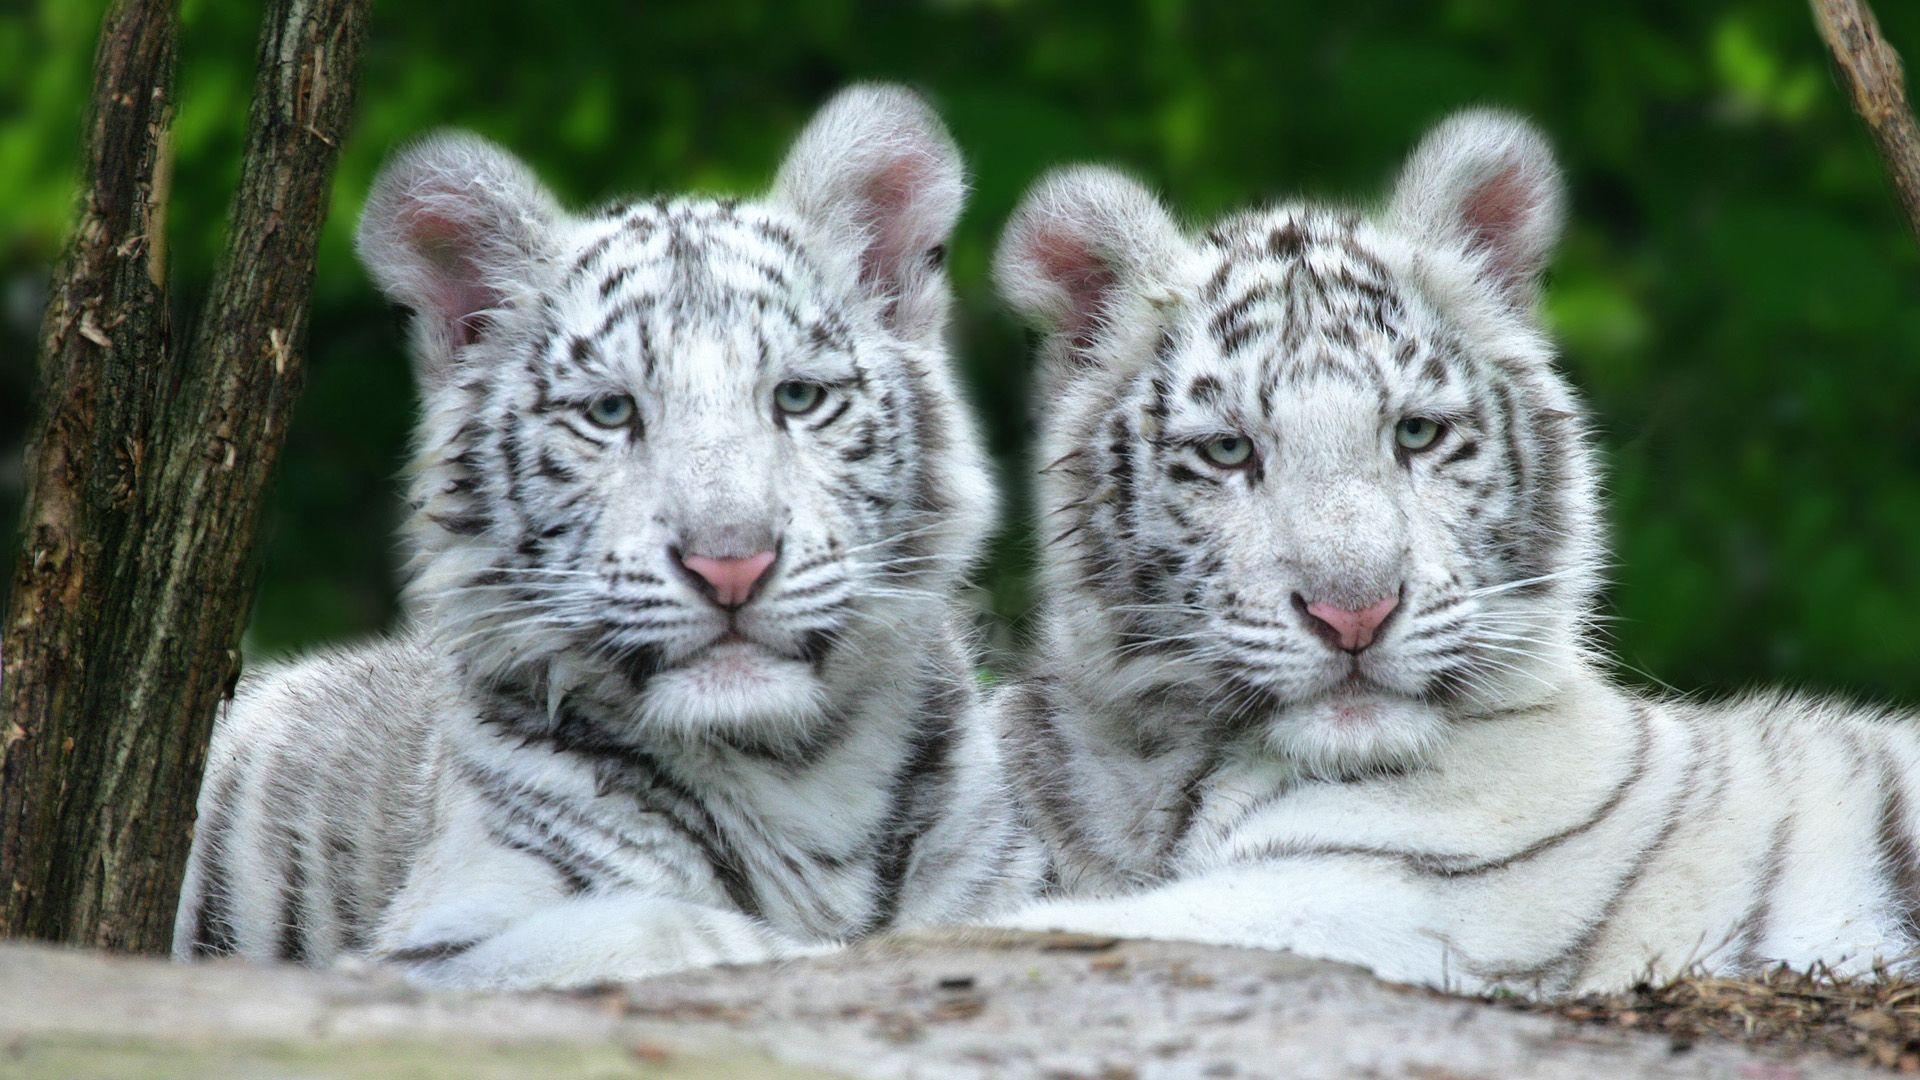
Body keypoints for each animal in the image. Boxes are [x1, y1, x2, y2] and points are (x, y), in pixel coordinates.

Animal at [171, 84, 1039, 989]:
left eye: (798, 397)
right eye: (611, 411)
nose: (731, 564)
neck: (799, 774)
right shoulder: (430, 948)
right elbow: (670, 929)